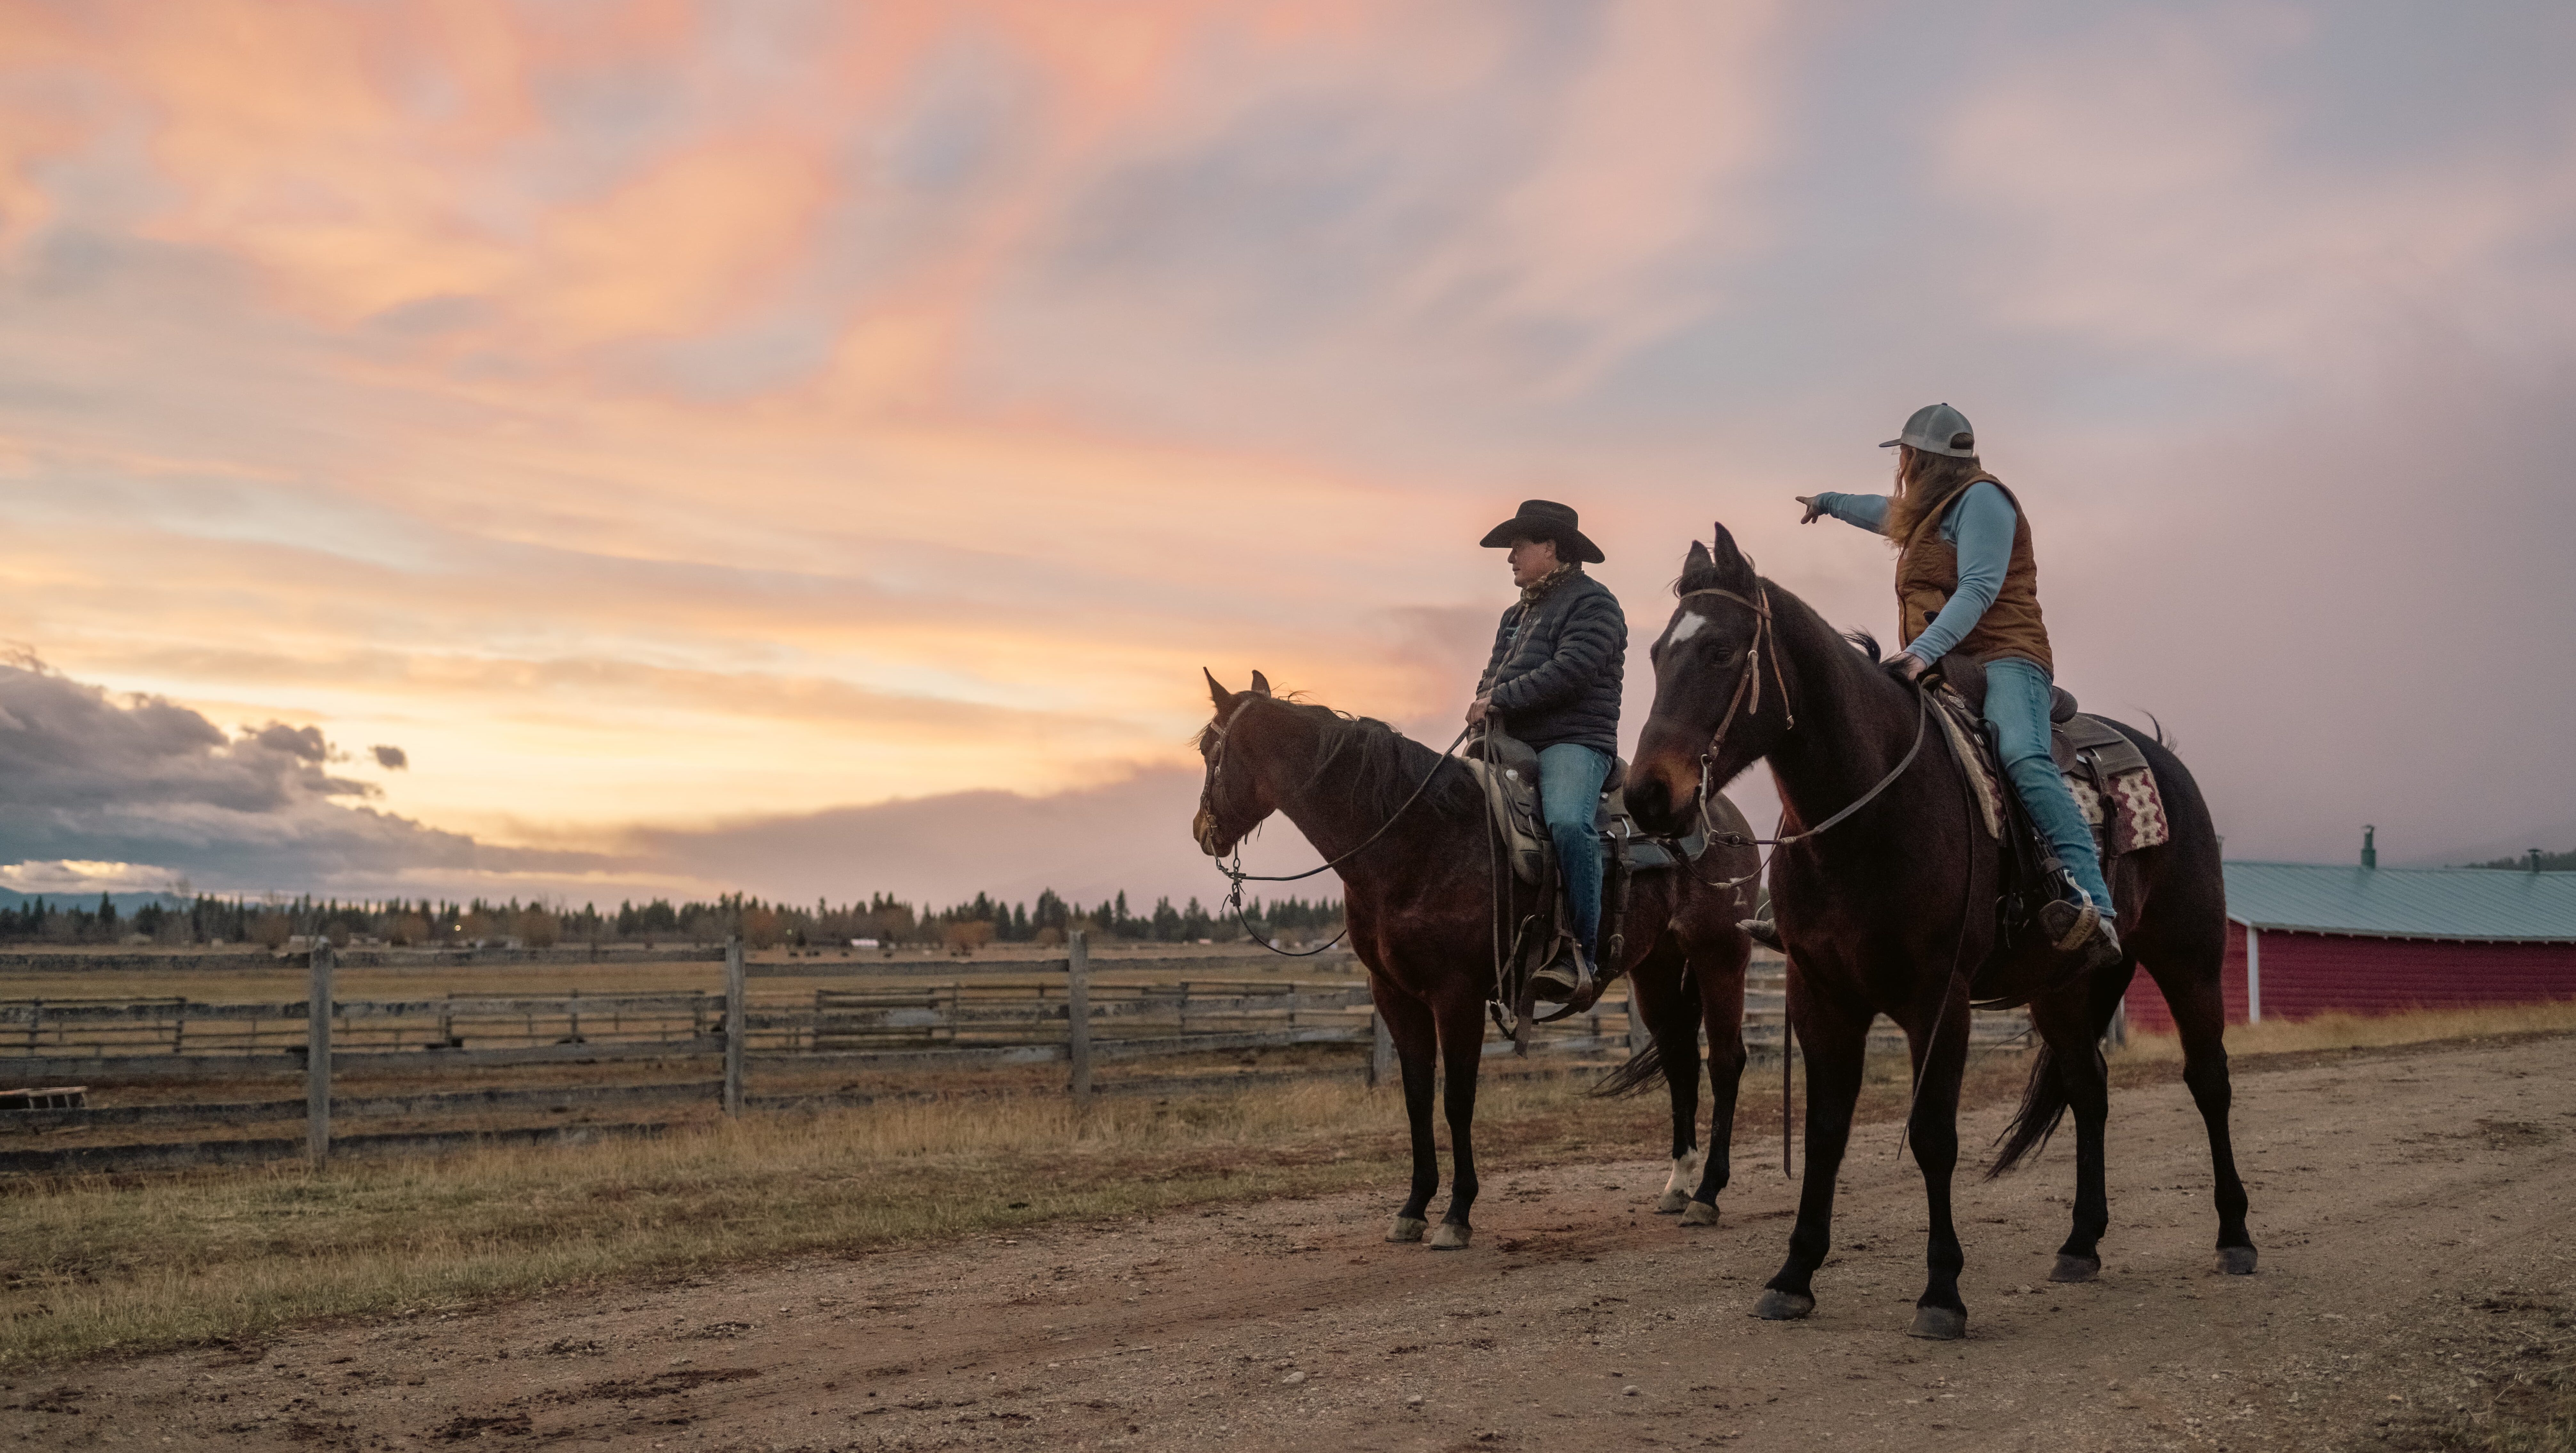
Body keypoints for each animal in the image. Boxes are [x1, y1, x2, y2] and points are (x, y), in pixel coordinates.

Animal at [1190, 675, 1762, 1247]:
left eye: (1206, 750)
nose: (1201, 831)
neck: (1414, 839)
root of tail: (1724, 820)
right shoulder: (1394, 994)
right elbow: (1417, 1097)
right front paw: (1413, 1207)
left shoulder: (1456, 994)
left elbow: (1457, 1098)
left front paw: (1456, 1213)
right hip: (1656, 970)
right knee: (1680, 1061)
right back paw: (1678, 1186)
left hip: (1720, 958)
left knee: (1725, 1061)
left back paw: (1708, 1193)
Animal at [1628, 531, 2256, 1339]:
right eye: (1655, 653)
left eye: (1719, 651)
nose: (1646, 795)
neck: (1868, 816)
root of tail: (2163, 757)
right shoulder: (1819, 994)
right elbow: (1826, 1128)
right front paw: (1794, 1274)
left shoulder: (1940, 998)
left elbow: (1932, 1133)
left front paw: (1941, 1291)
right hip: (2061, 988)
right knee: (2088, 1089)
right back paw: (2080, 1243)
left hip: (2190, 959)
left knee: (2209, 1080)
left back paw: (2235, 1235)